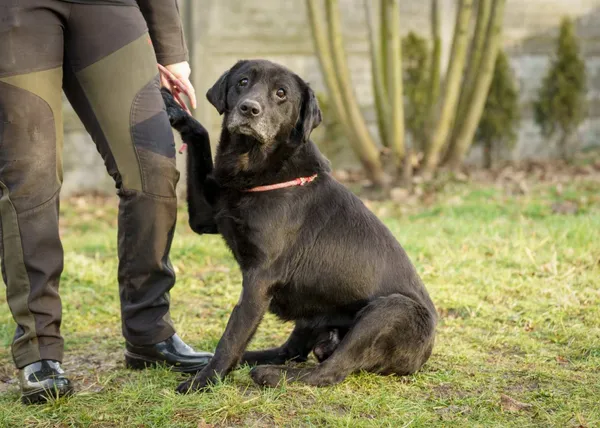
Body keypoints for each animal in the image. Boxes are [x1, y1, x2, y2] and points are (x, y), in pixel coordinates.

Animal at [162, 60, 438, 394]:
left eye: (281, 93)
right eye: (242, 82)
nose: (249, 109)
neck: (256, 167)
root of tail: (424, 355)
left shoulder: (259, 279)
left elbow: (232, 335)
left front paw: (205, 381)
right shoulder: (204, 218)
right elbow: (200, 138)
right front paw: (179, 112)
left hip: (389, 310)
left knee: (330, 370)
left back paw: (268, 374)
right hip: (312, 314)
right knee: (291, 352)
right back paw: (247, 360)